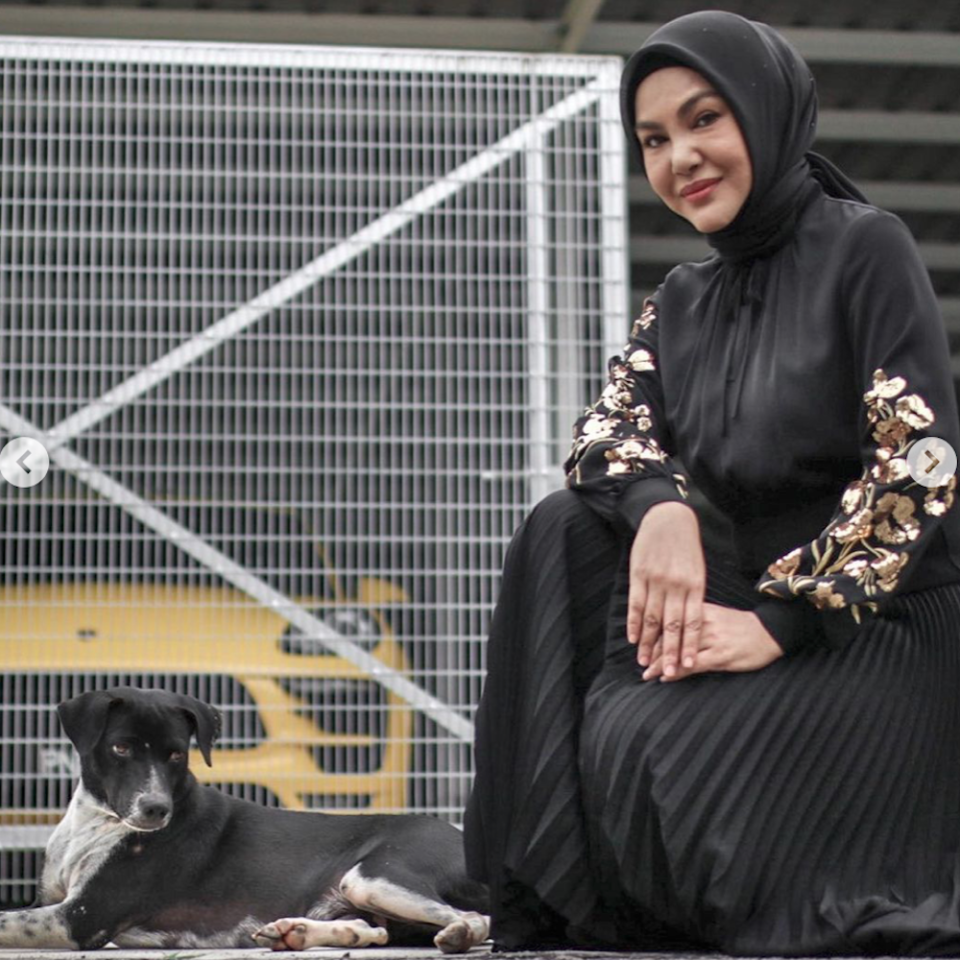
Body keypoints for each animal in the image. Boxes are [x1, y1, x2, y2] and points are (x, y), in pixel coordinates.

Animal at [0, 688, 488, 952]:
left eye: (176, 754)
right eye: (121, 748)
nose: (156, 810)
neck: (97, 822)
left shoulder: (82, 918)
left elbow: (7, 922)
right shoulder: (51, 902)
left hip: (371, 877)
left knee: (475, 919)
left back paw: (459, 934)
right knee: (375, 930)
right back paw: (301, 933)